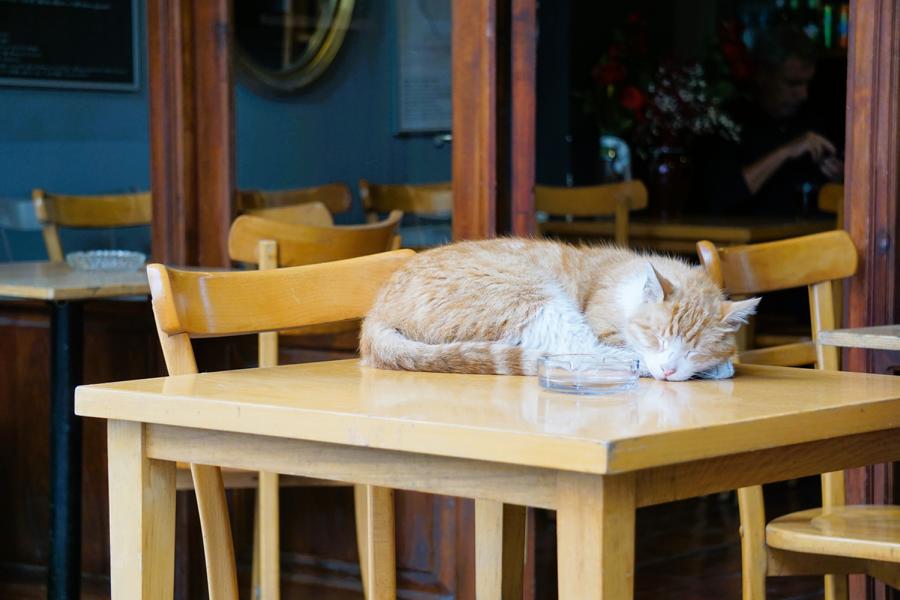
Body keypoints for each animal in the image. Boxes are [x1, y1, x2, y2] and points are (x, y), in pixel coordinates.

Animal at [360, 238, 759, 381]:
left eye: (694, 349)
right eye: (657, 338)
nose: (669, 369)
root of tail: (376, 312)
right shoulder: (605, 328)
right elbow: (619, 348)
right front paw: (716, 368)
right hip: (532, 295)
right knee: (578, 355)